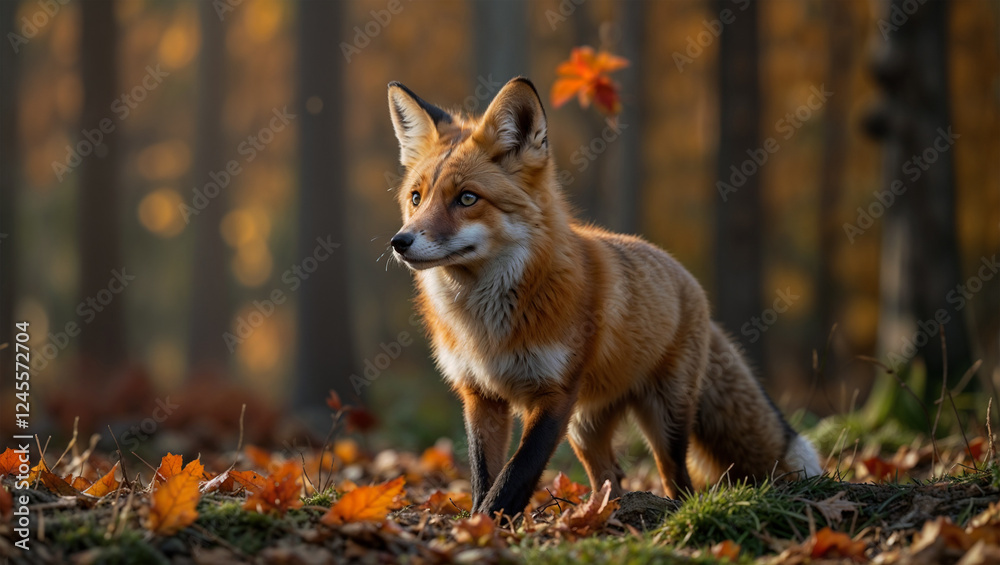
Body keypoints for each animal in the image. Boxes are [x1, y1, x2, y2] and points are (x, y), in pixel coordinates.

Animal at [387, 77, 822, 517]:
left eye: (467, 198)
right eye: (416, 198)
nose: (399, 242)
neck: (485, 322)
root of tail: (687, 279)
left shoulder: (555, 394)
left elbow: (516, 475)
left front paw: (489, 522)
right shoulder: (480, 395)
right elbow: (483, 476)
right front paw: (477, 523)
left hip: (663, 418)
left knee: (678, 480)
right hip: (586, 426)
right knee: (611, 476)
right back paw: (603, 513)